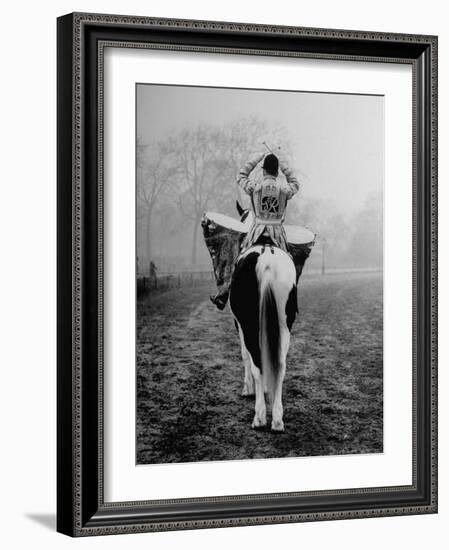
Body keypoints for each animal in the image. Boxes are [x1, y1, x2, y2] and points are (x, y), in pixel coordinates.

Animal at [228, 201, 298, 434]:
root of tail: (266, 259)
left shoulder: (239, 324)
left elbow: (245, 355)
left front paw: (247, 389)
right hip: (285, 324)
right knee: (281, 365)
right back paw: (277, 419)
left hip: (249, 323)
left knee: (257, 363)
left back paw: (259, 417)